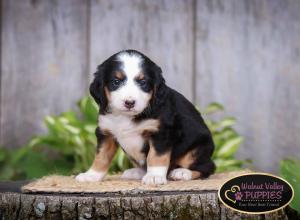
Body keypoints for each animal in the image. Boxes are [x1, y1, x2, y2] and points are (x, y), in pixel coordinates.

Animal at [76, 49, 214, 186]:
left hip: (197, 149)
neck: (126, 116)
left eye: (143, 83)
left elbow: (156, 156)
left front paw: (154, 176)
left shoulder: (161, 132)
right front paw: (91, 175)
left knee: (208, 167)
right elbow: (101, 156)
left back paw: (182, 173)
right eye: (116, 82)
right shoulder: (106, 133)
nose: (129, 102)